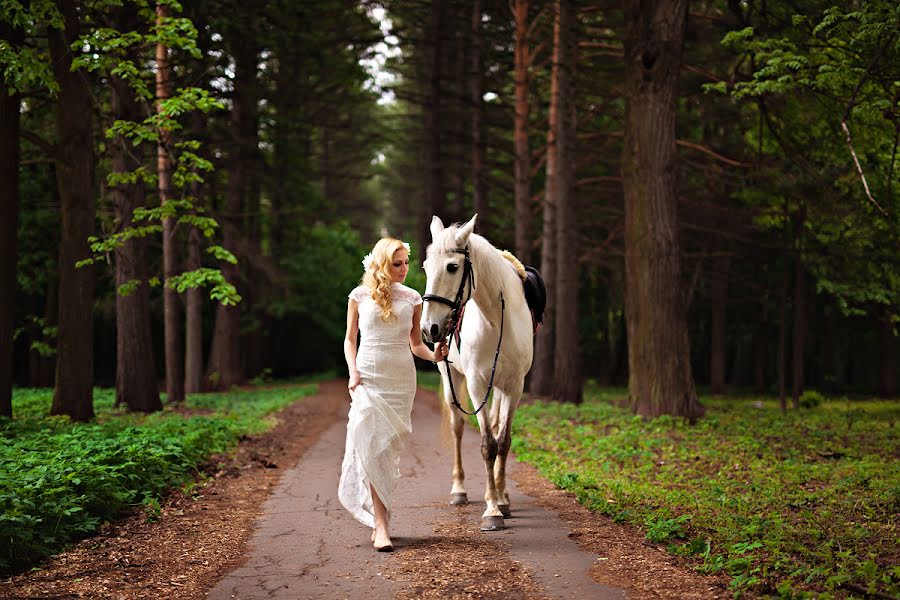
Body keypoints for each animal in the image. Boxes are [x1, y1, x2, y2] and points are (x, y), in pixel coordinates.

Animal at [422, 214, 536, 528]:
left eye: (452, 267)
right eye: (425, 267)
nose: (429, 328)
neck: (497, 320)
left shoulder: (514, 386)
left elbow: (503, 441)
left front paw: (501, 501)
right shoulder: (476, 384)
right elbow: (487, 444)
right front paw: (492, 511)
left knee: (496, 428)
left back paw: (501, 493)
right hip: (453, 379)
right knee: (458, 427)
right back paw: (459, 490)